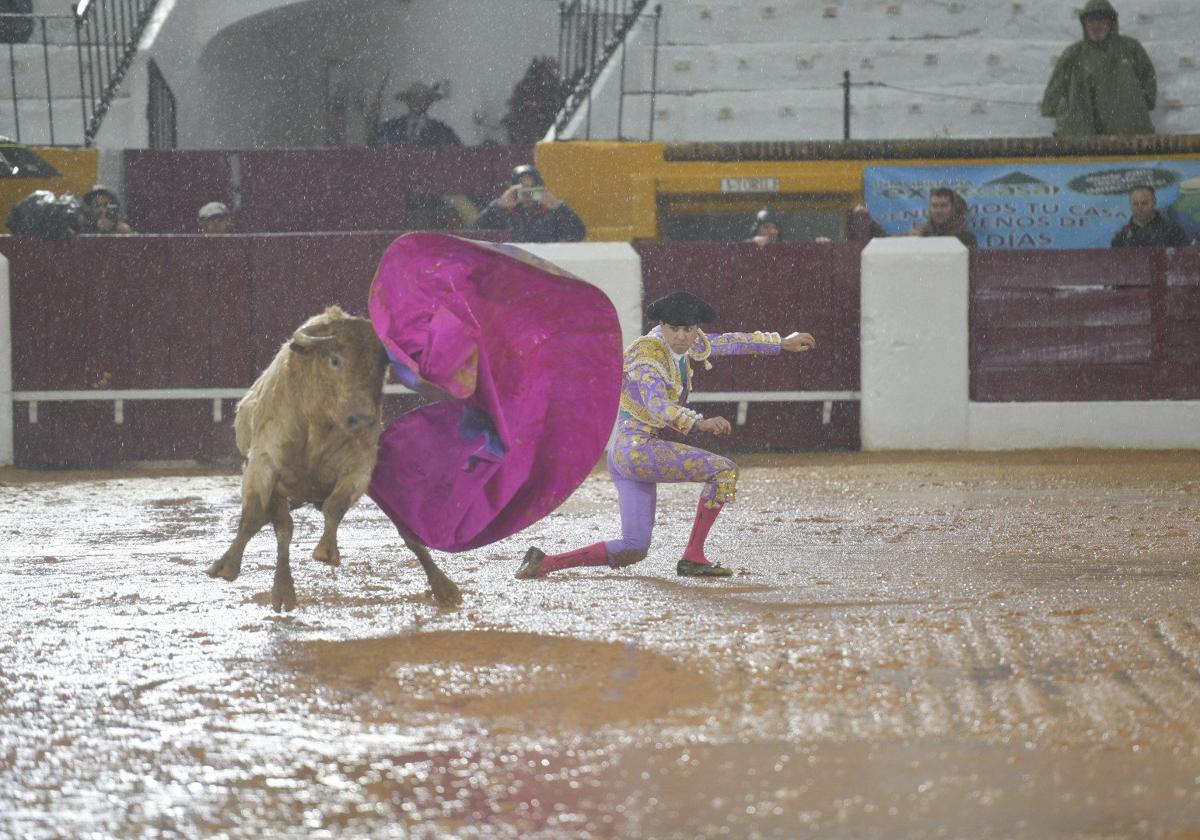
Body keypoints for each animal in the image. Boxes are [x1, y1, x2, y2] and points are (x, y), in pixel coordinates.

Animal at [206, 307, 458, 609]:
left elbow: (335, 506)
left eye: (381, 368)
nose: (363, 419)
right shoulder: (262, 464)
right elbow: (254, 517)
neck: (319, 423)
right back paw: (282, 591)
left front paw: (326, 551)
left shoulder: (360, 468)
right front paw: (227, 567)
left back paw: (444, 587)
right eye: (335, 360)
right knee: (283, 527)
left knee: (404, 529)